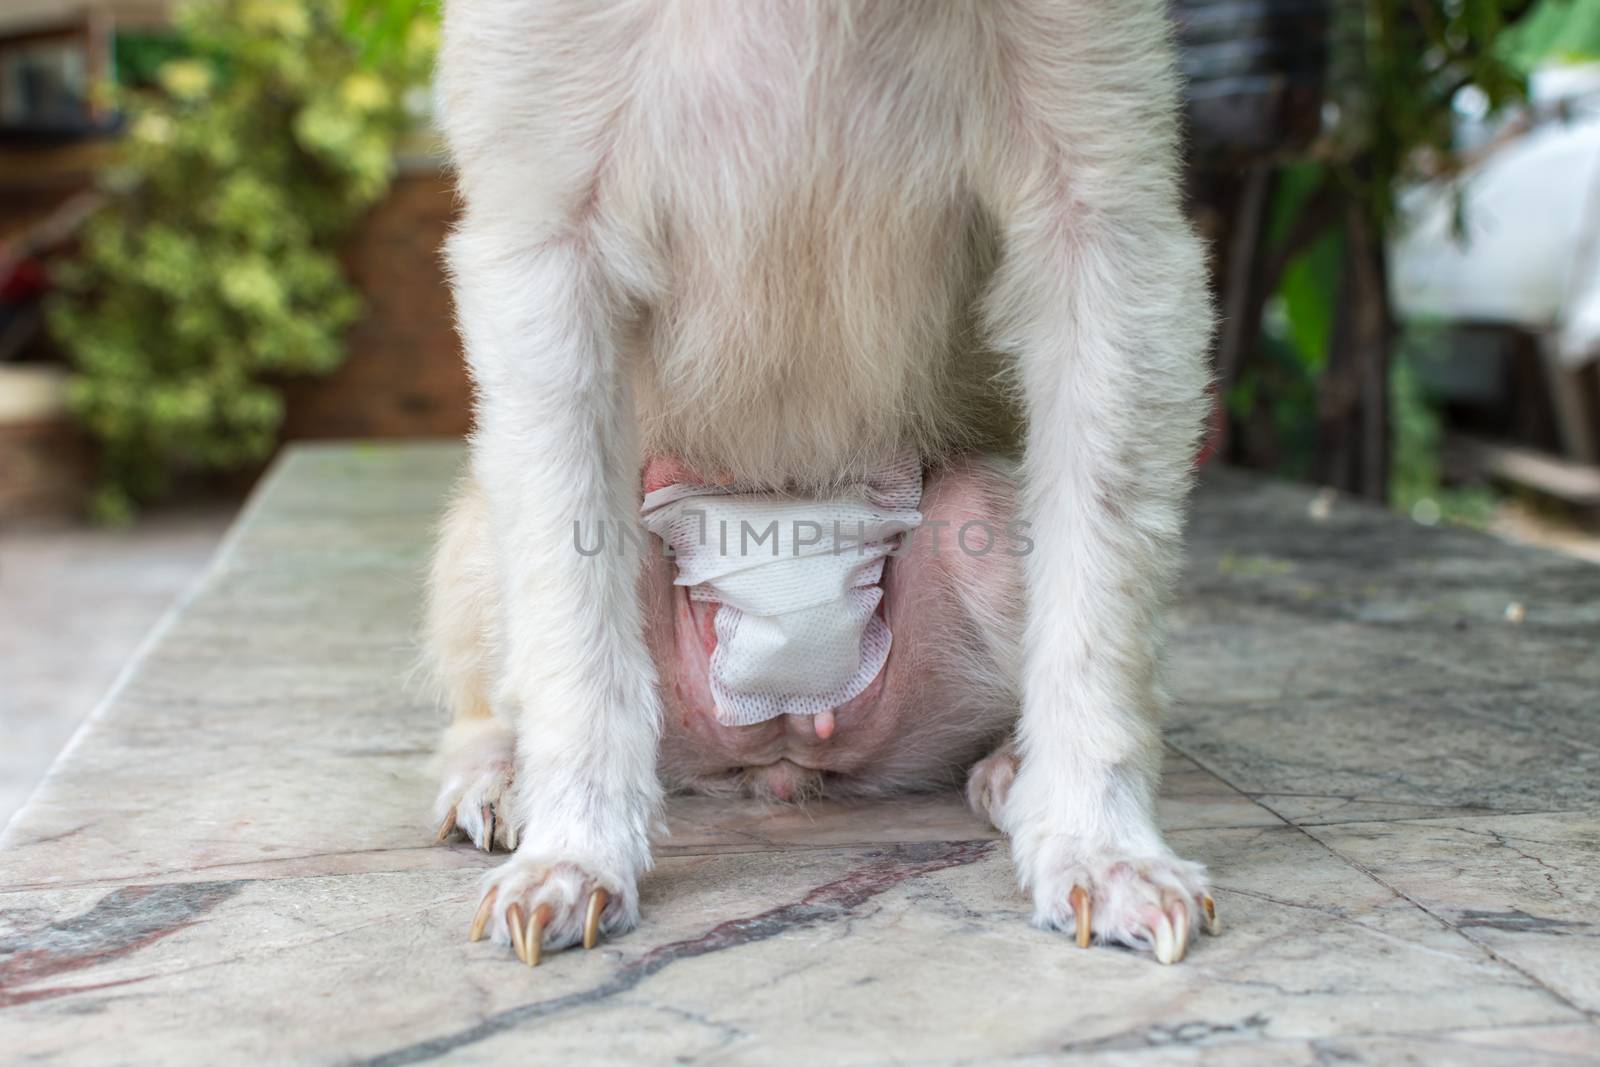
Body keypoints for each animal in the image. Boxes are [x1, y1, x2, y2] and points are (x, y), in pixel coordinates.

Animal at [422, 0, 1209, 966]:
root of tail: (786, 744)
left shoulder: (1105, 218)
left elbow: (1102, 589)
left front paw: (1100, 840)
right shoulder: (543, 227)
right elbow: (571, 615)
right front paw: (574, 846)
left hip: (973, 546)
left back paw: (1015, 767)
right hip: (499, 554)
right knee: (497, 670)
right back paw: (497, 775)